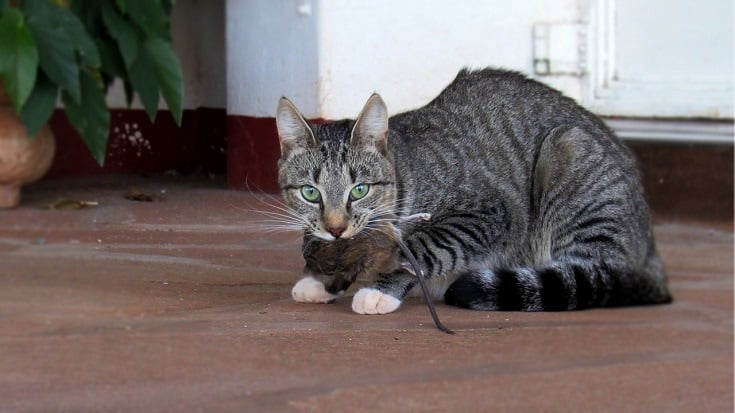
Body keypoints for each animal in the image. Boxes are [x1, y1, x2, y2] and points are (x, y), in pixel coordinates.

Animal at [274, 67, 672, 312]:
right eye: (310, 193)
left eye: (359, 190)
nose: (336, 227)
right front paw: (323, 279)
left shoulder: (486, 212)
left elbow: (423, 246)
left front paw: (378, 289)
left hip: (569, 154)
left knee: (596, 273)